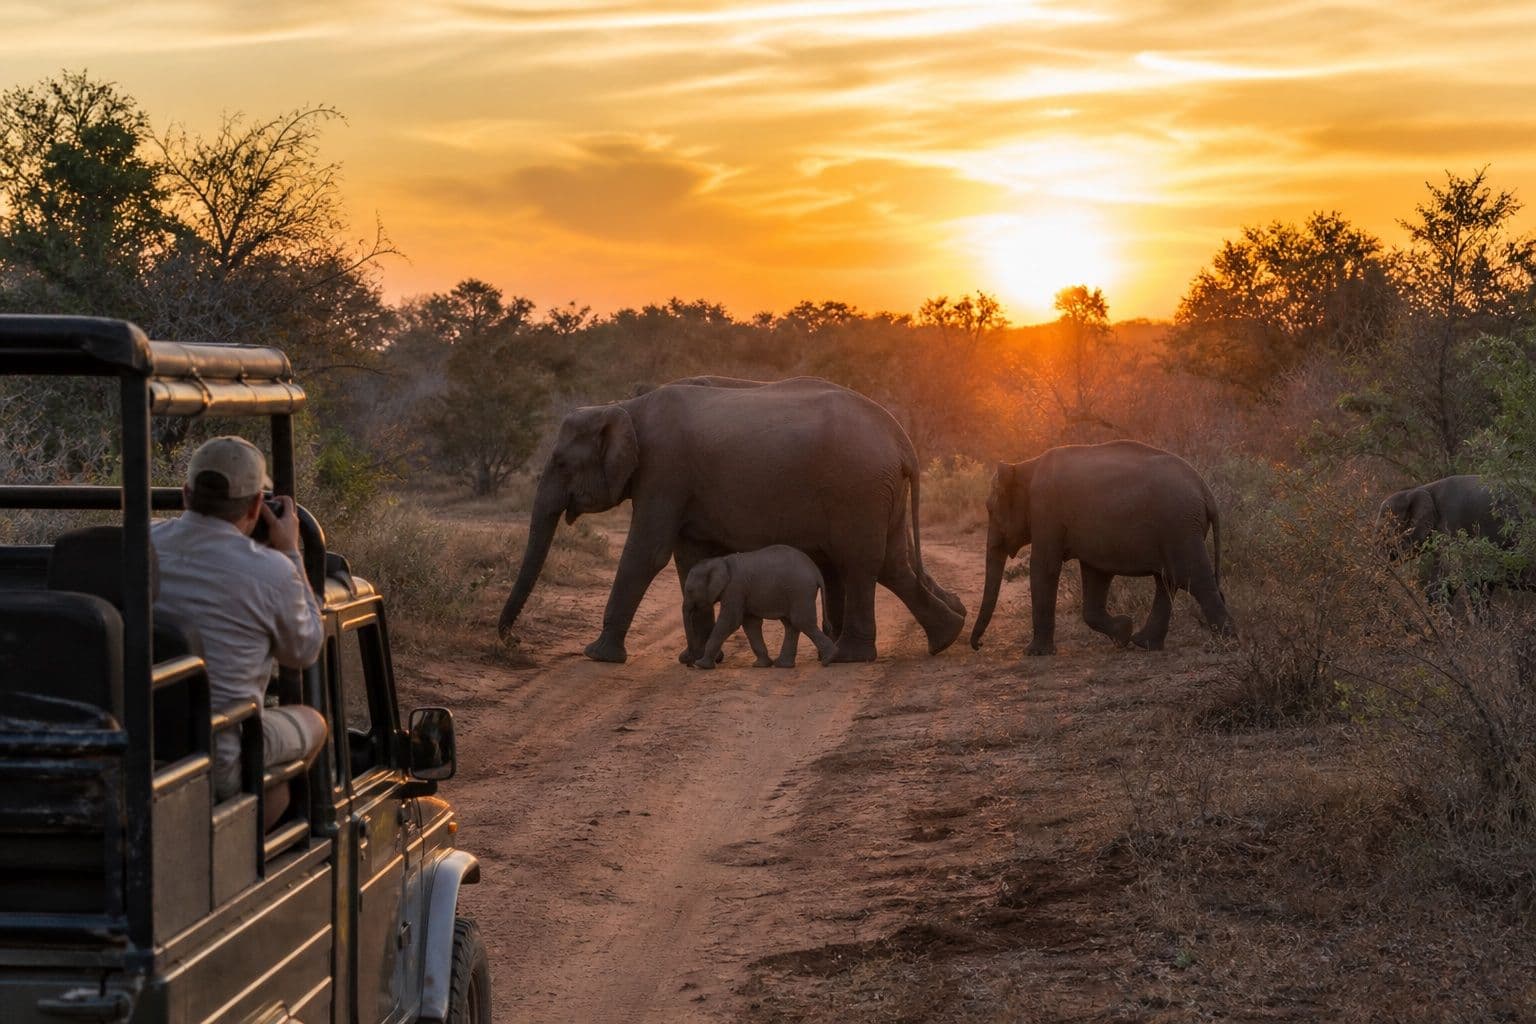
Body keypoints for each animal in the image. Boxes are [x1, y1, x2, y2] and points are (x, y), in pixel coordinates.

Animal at [682, 545, 833, 669]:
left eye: (689, 590)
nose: (689, 664)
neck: (720, 561)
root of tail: (816, 571)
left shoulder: (735, 589)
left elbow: (730, 622)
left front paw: (701, 665)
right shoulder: (742, 593)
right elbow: (750, 624)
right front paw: (761, 665)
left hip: (800, 590)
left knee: (801, 622)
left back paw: (828, 659)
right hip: (793, 593)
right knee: (791, 624)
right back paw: (783, 665)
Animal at [970, 440, 1235, 656]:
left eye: (990, 510)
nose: (978, 645)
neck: (1025, 466)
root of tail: (1205, 491)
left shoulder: (1046, 511)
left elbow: (1044, 567)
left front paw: (1034, 653)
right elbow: (1095, 573)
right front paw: (1123, 633)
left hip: (1179, 524)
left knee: (1190, 577)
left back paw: (1225, 644)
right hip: (1178, 528)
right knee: (1168, 580)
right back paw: (1144, 643)